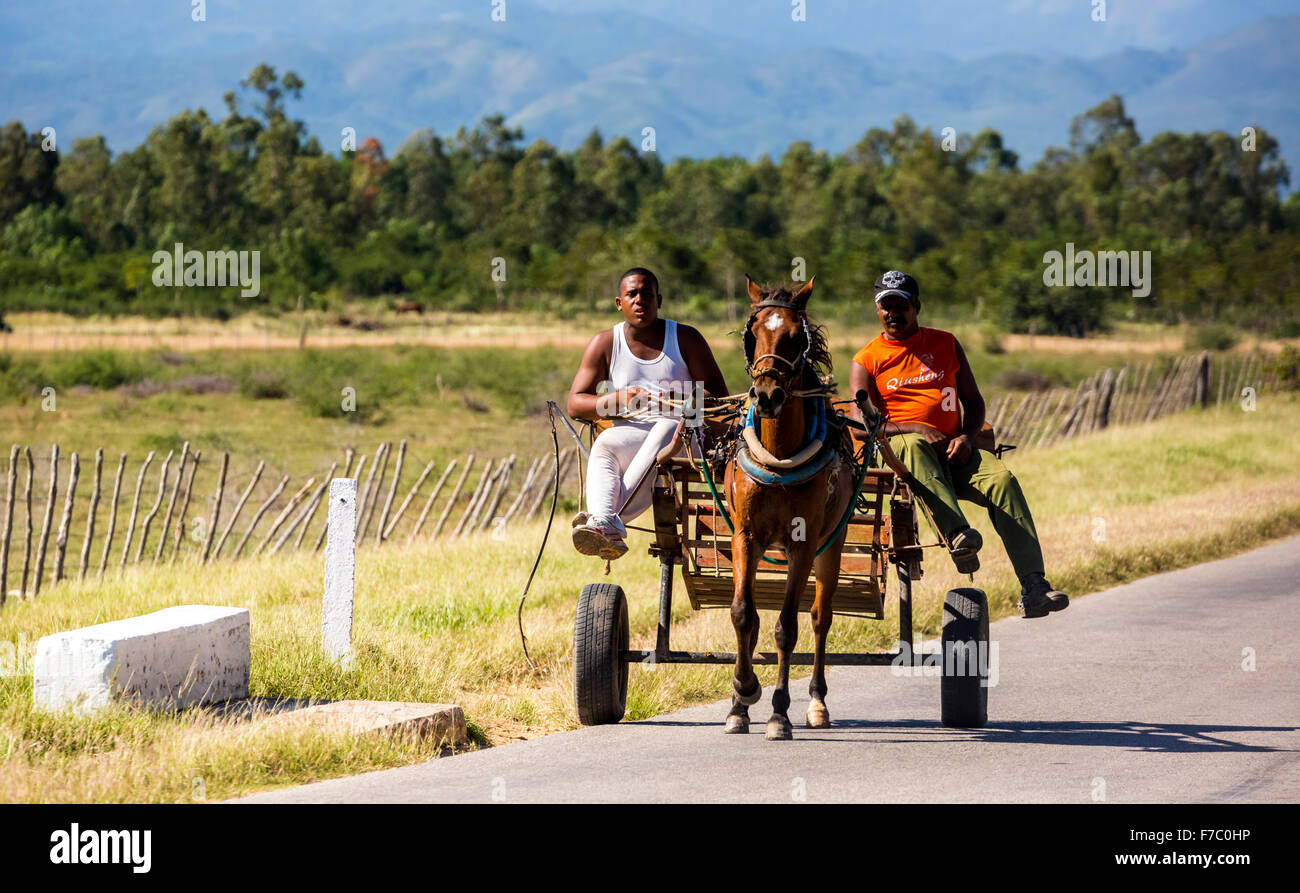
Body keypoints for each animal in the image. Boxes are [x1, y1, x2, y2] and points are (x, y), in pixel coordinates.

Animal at [722, 278, 852, 738]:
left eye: (797, 336)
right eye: (753, 332)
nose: (767, 395)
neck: (778, 455)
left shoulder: (803, 544)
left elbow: (787, 628)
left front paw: (779, 713)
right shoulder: (745, 536)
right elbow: (744, 615)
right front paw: (742, 697)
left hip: (832, 546)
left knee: (819, 617)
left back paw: (816, 702)